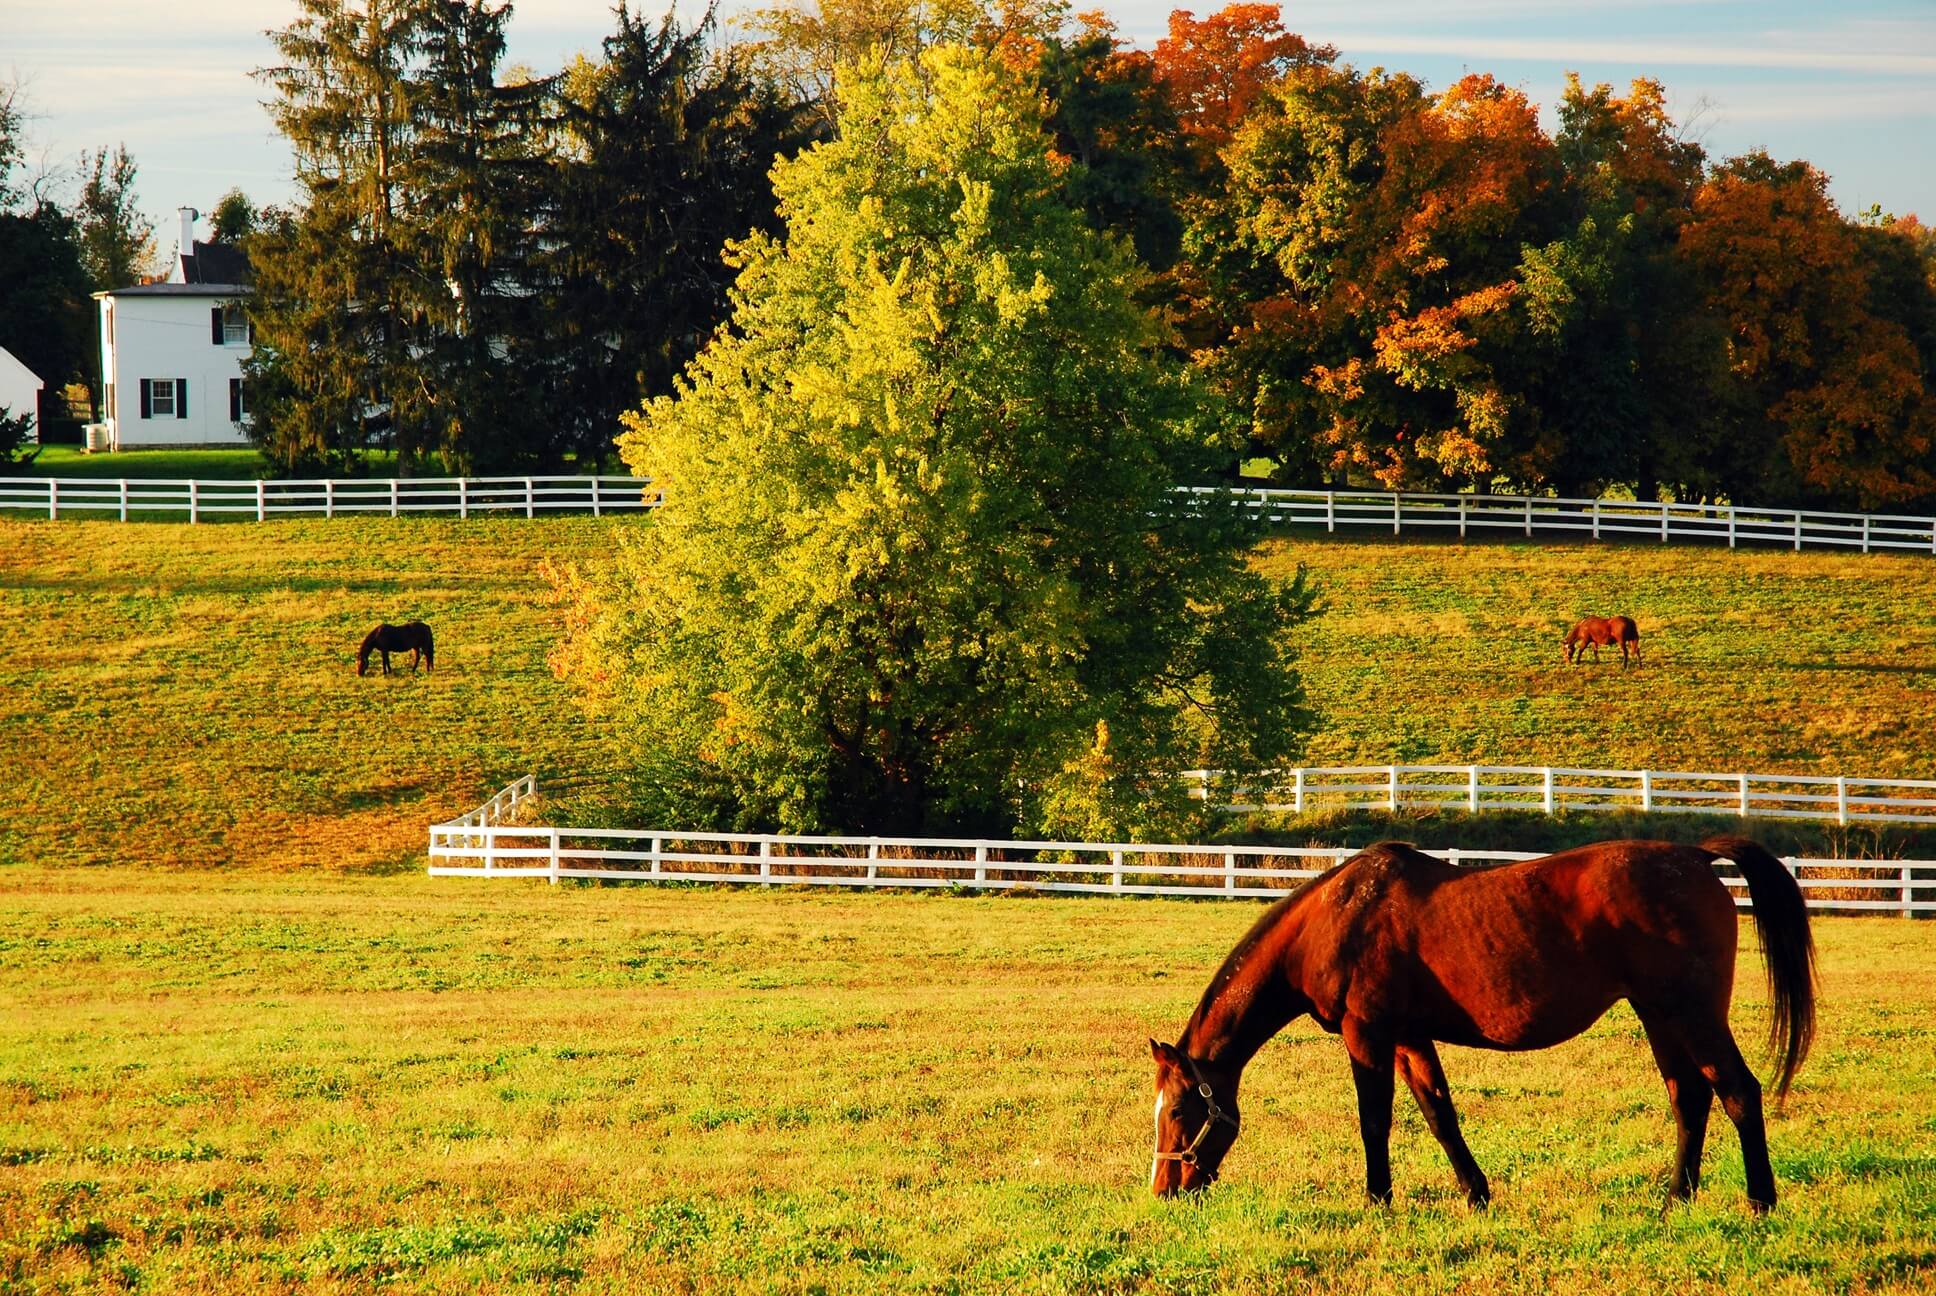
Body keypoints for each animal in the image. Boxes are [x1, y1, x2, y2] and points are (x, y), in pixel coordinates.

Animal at [1149, 837, 1815, 1213]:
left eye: (1180, 1110)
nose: (1163, 1189)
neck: (1333, 918)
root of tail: (1696, 857)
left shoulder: (1369, 1035)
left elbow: (1374, 1121)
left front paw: (1377, 1201)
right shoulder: (1409, 1037)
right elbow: (1439, 1114)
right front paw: (1476, 1193)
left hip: (1692, 1014)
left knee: (1737, 1091)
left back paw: (1760, 1200)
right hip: (1659, 1014)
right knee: (1690, 1097)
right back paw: (1678, 1196)